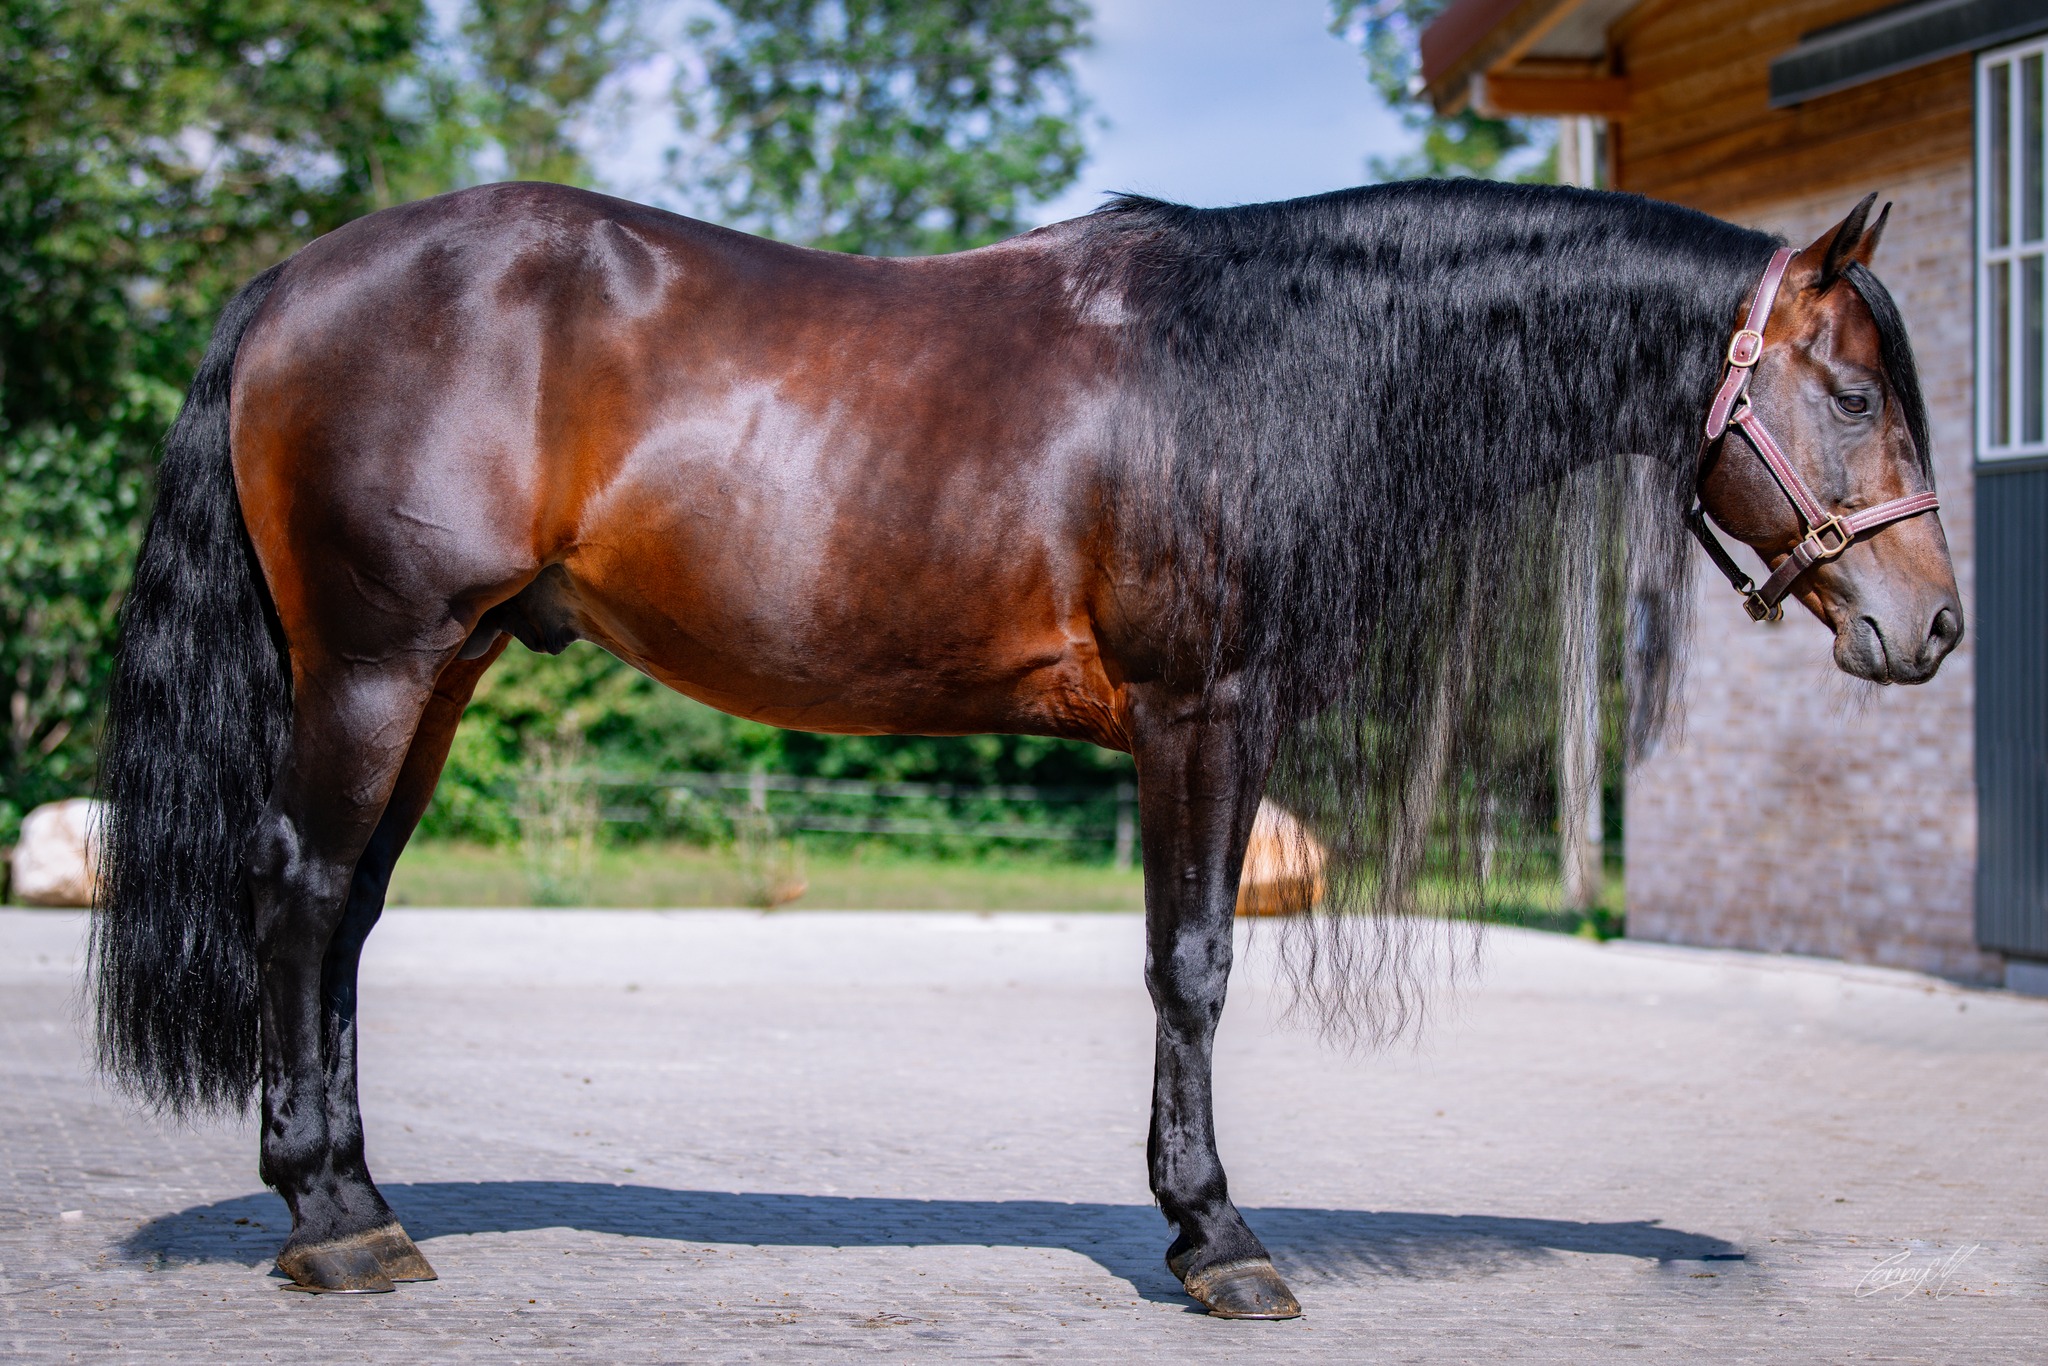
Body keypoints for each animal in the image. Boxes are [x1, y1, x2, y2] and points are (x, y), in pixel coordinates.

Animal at [91, 179, 1960, 1318]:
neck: (1257, 372)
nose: (1930, 628)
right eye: (1855, 394)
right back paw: (330, 1224)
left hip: (442, 670)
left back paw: (353, 1195)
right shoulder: (1202, 709)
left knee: (345, 915)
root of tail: (297, 280)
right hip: (372, 667)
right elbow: (1193, 965)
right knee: (299, 895)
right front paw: (1216, 1236)